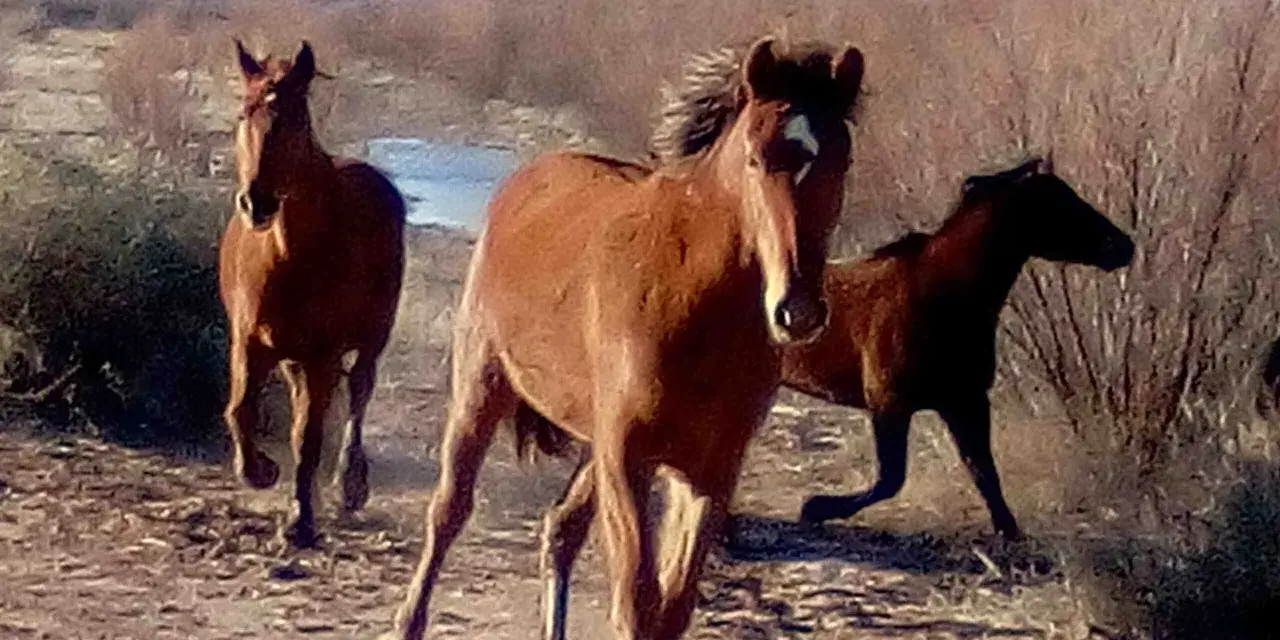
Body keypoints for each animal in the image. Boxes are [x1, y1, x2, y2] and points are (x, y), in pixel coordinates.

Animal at [219, 40, 406, 548]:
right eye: (244, 114)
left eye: (296, 119)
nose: (257, 203)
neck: (290, 256)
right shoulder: (250, 341)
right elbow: (240, 411)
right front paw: (261, 471)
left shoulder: (324, 352)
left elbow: (310, 434)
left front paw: (300, 521)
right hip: (291, 356)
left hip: (370, 338)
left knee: (359, 391)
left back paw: (349, 485)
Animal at [382, 36, 865, 640]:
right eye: (756, 157)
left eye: (842, 161)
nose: (797, 311)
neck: (692, 298)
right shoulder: (628, 459)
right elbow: (637, 602)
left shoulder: (710, 470)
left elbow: (673, 605)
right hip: (483, 384)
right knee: (449, 509)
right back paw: (409, 618)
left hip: (594, 441)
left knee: (560, 529)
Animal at [782, 156, 1134, 540]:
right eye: (1058, 203)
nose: (1123, 245)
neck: (940, 294)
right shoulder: (890, 403)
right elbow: (891, 479)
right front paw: (815, 507)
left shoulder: (965, 401)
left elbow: (984, 472)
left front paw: (1010, 532)